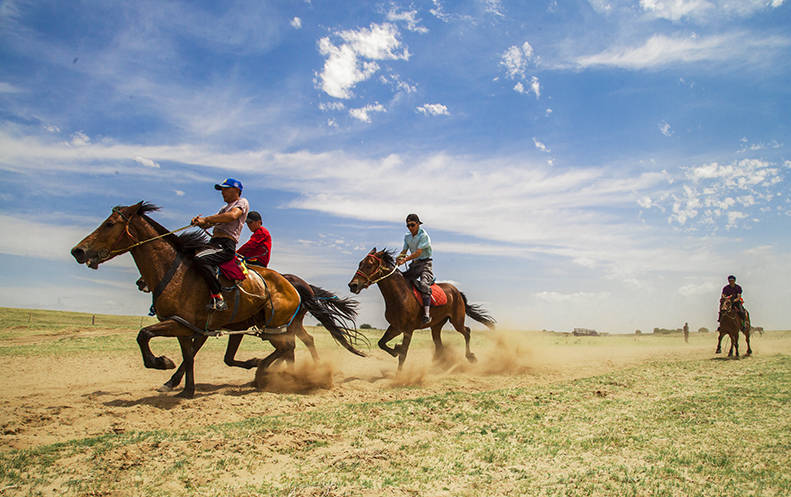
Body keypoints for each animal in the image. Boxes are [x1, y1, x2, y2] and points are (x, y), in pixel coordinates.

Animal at [69, 200, 364, 398]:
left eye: (109, 224)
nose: (78, 251)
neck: (175, 271)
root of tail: (295, 286)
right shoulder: (188, 326)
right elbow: (192, 354)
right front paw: (182, 387)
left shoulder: (184, 324)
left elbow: (146, 335)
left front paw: (162, 364)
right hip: (278, 326)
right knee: (296, 344)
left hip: (274, 326)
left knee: (288, 347)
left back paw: (267, 373)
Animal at [348, 247, 496, 368]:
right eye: (360, 263)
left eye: (369, 265)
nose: (352, 285)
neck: (400, 295)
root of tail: (457, 291)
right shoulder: (396, 327)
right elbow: (381, 343)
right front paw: (396, 349)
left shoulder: (408, 330)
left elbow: (403, 355)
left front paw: (399, 376)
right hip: (436, 326)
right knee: (439, 345)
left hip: (457, 321)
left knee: (467, 332)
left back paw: (470, 357)